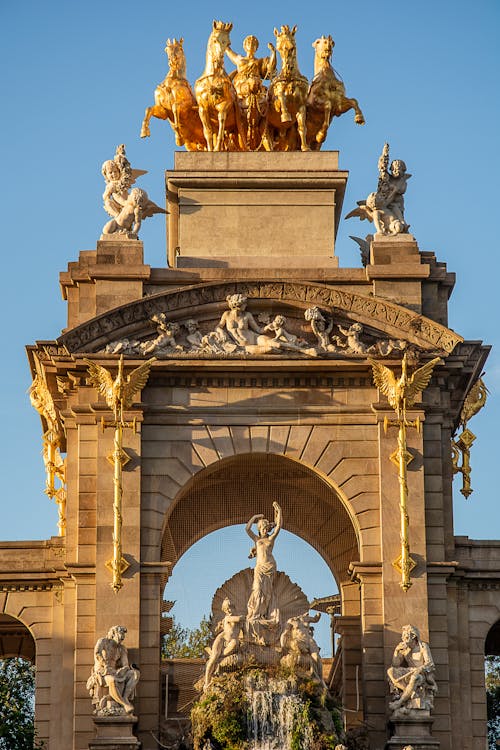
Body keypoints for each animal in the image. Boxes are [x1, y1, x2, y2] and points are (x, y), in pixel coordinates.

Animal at [193, 20, 246, 151]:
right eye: (215, 40)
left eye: (228, 43)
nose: (219, 60)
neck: (212, 78)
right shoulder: (202, 109)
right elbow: (207, 132)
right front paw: (211, 150)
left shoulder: (224, 105)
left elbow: (221, 121)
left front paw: (217, 148)